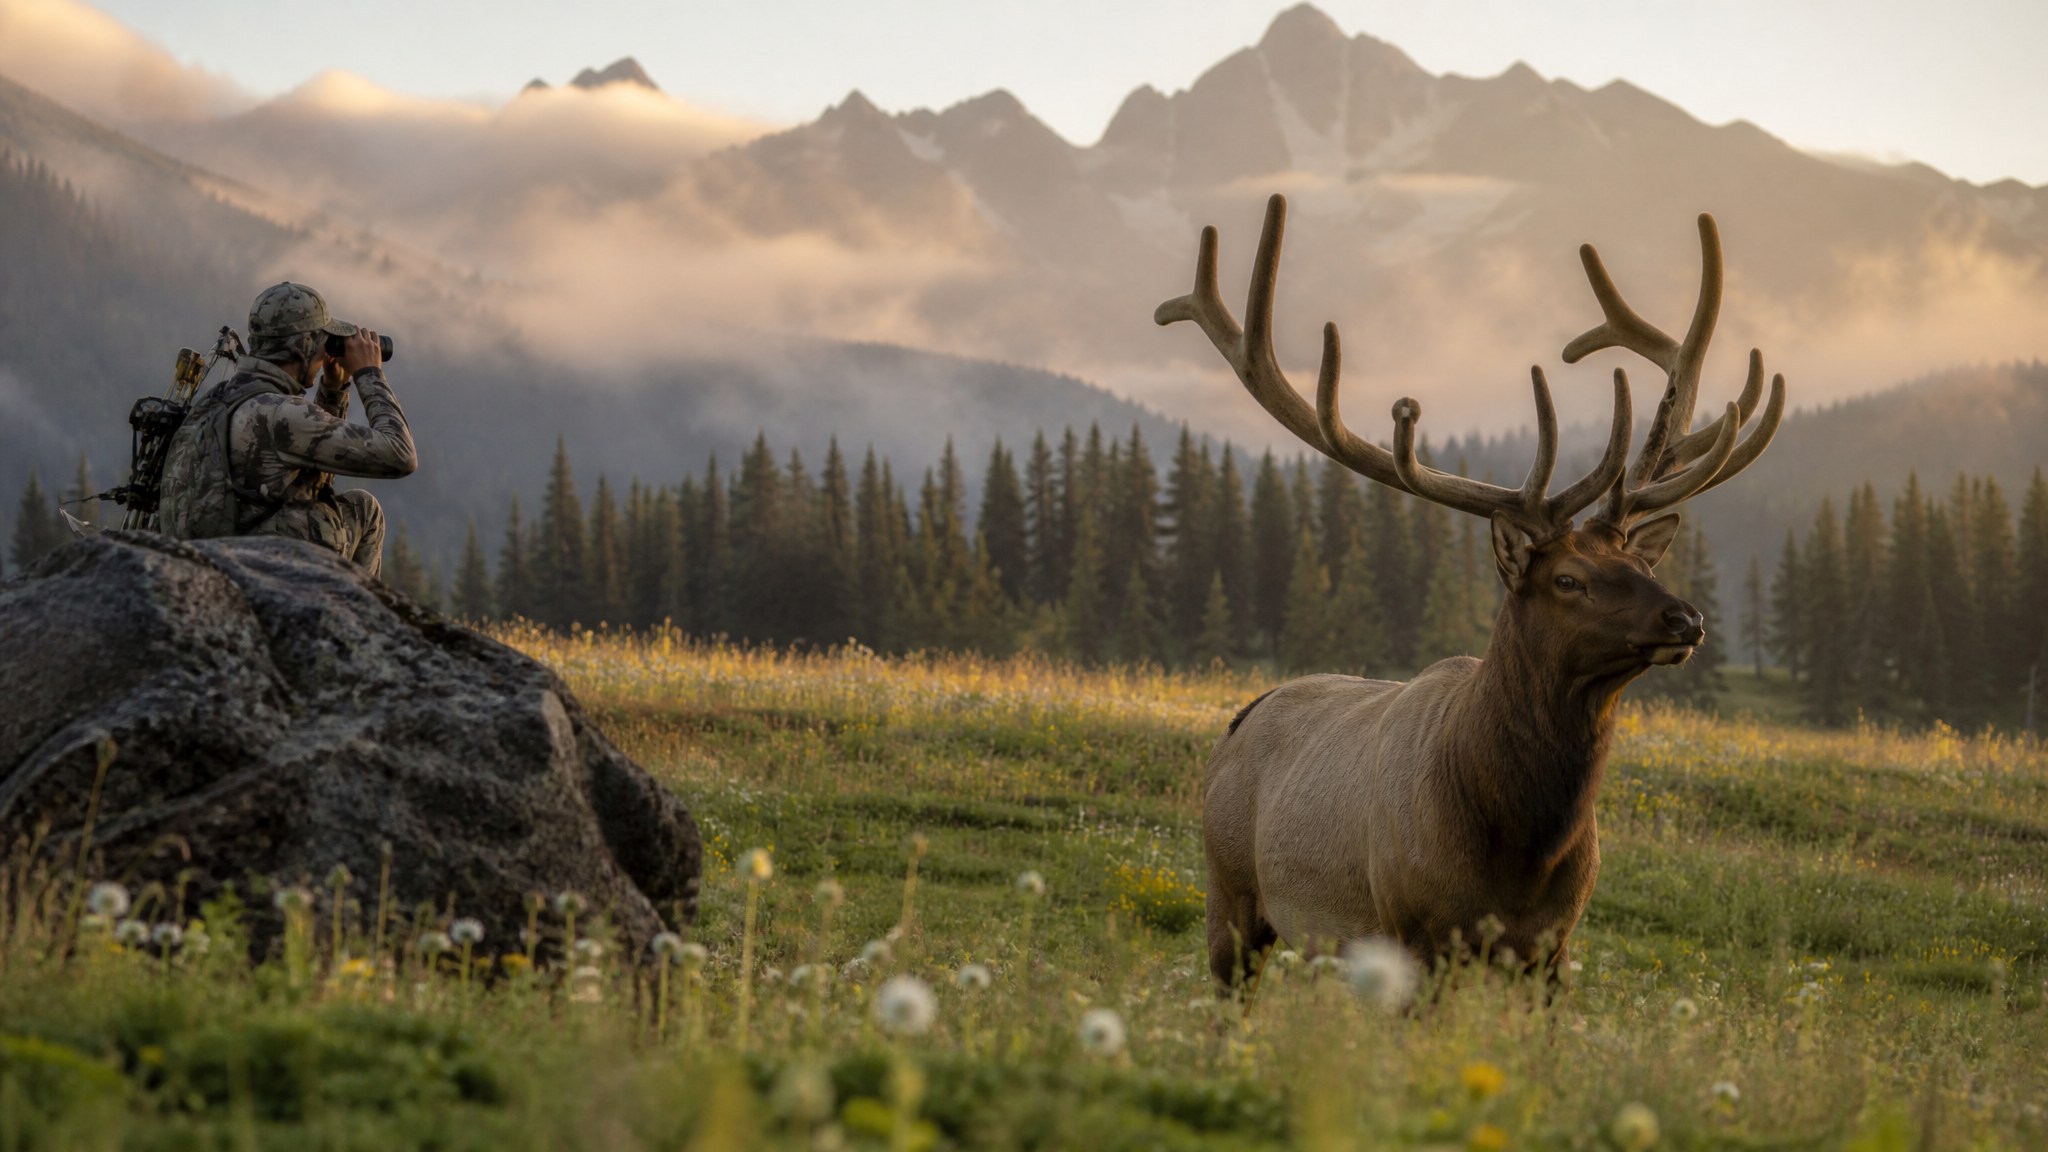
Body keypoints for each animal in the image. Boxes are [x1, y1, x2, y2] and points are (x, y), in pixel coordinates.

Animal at [1157, 195, 1785, 989]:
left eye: (1639, 567)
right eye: (1568, 580)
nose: (1687, 618)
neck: (1520, 850)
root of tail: (1242, 715)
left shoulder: (1554, 949)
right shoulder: (1415, 933)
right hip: (1230, 892)